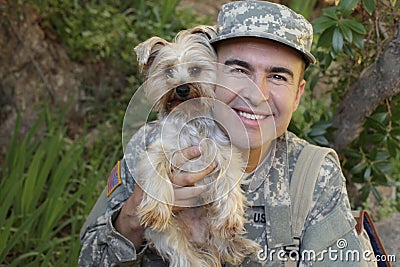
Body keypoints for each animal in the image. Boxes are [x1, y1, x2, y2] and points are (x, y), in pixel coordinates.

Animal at [133, 25, 260, 267]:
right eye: (168, 71)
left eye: (195, 69)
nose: (182, 89)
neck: (189, 119)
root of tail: (201, 239)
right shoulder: (157, 152)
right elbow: (156, 174)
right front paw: (155, 211)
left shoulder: (224, 153)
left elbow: (229, 181)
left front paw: (231, 217)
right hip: (165, 235)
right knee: (185, 256)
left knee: (221, 239)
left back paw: (237, 246)